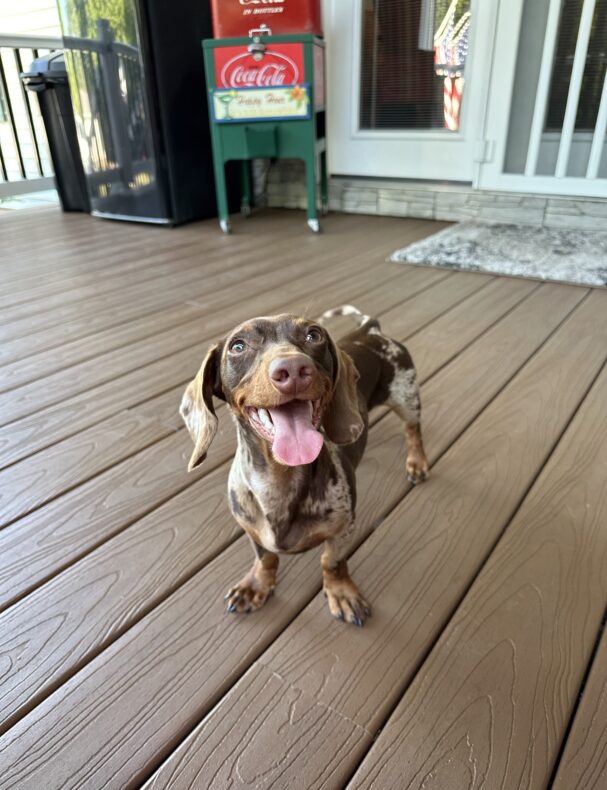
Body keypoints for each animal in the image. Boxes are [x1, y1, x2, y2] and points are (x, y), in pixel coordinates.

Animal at [180, 306, 428, 626]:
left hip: (407, 398)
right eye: (238, 346)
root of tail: (370, 330)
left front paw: (341, 592)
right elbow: (266, 557)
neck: (278, 482)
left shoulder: (343, 529)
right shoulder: (251, 530)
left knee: (413, 431)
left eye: (314, 335)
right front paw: (256, 585)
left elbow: (331, 562)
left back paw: (417, 462)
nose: (293, 369)